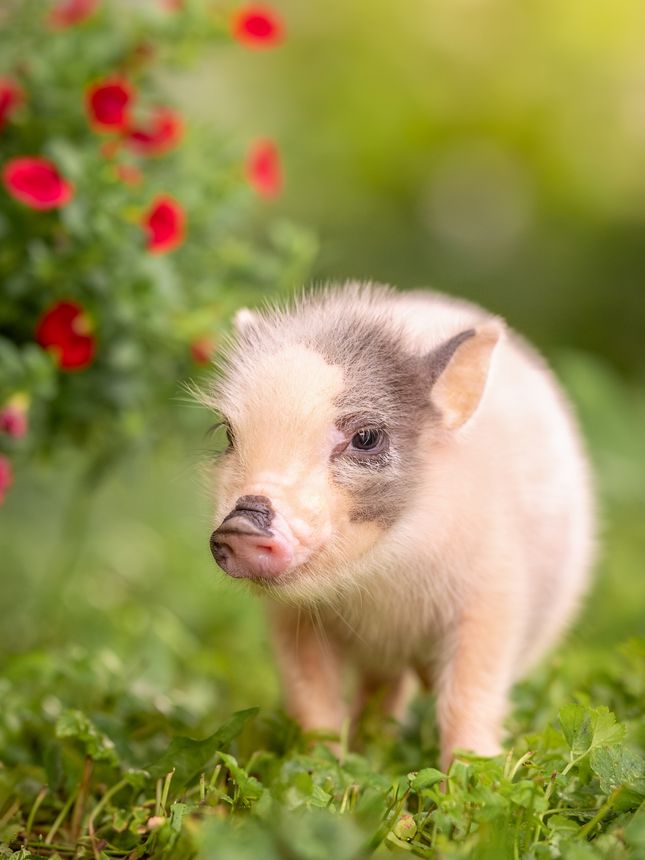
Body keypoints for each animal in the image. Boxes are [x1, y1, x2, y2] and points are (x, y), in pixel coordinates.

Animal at [202, 282, 595, 769]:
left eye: (367, 437)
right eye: (229, 435)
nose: (241, 523)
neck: (381, 590)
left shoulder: (493, 596)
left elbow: (469, 695)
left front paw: (468, 775)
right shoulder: (292, 619)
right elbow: (311, 699)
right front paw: (326, 767)